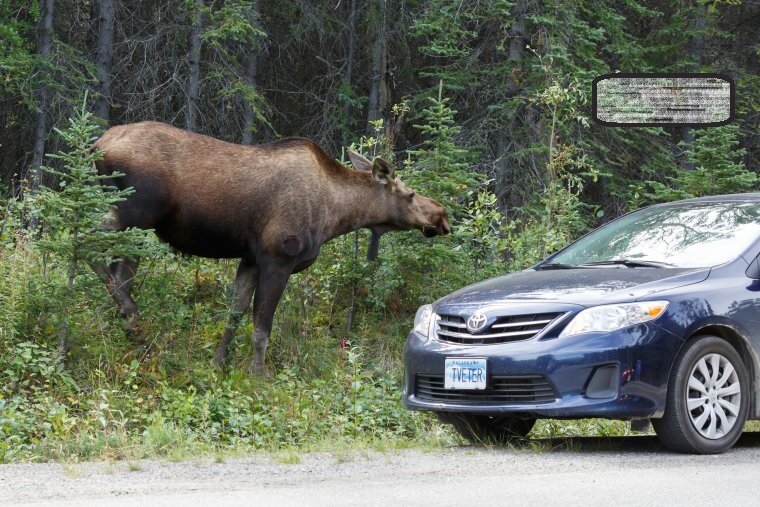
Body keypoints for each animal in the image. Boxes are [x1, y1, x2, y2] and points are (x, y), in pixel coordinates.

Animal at [91, 122, 448, 378]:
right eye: (410, 195)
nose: (442, 215)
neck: (334, 215)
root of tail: (97, 145)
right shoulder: (278, 257)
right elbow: (262, 327)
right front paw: (259, 375)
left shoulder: (250, 260)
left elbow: (234, 316)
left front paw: (218, 364)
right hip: (132, 212)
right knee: (85, 239)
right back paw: (130, 314)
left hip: (135, 222)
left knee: (119, 268)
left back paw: (128, 326)